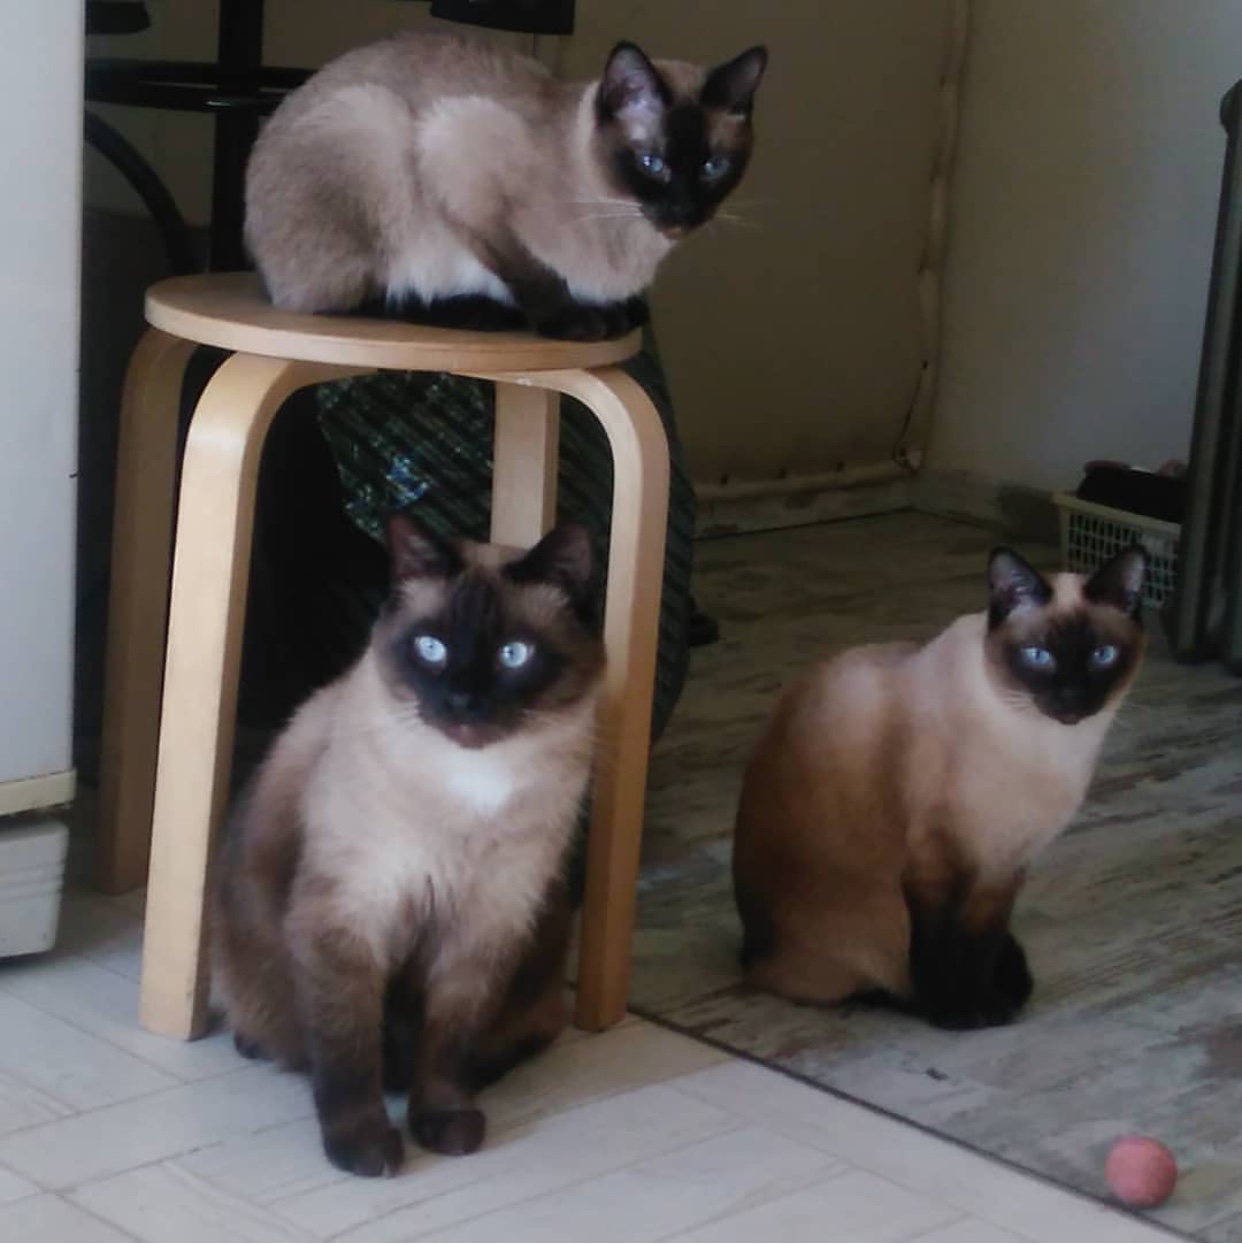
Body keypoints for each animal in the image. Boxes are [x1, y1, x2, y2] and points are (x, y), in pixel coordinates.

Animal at [212, 512, 607, 1174]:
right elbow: (348, 1050)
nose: (464, 702)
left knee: (520, 1036)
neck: (470, 789)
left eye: (513, 655)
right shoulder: (351, 915)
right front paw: (364, 1150)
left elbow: (446, 1046)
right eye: (432, 649)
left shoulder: (485, 923)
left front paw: (443, 1124)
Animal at [243, 30, 766, 340]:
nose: (683, 214)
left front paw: (618, 309)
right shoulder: (460, 163)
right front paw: (574, 320)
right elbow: (529, 269)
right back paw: (480, 313)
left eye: (713, 167)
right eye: (651, 163)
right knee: (345, 300)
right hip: (372, 122)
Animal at [731, 544, 1149, 1030]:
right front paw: (955, 1015)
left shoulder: (1002, 868)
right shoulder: (939, 862)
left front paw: (986, 1004)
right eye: (1038, 656)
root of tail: (748, 949)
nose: (1072, 699)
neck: (1047, 748)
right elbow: (938, 951)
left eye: (1102, 655)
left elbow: (979, 947)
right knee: (843, 985)